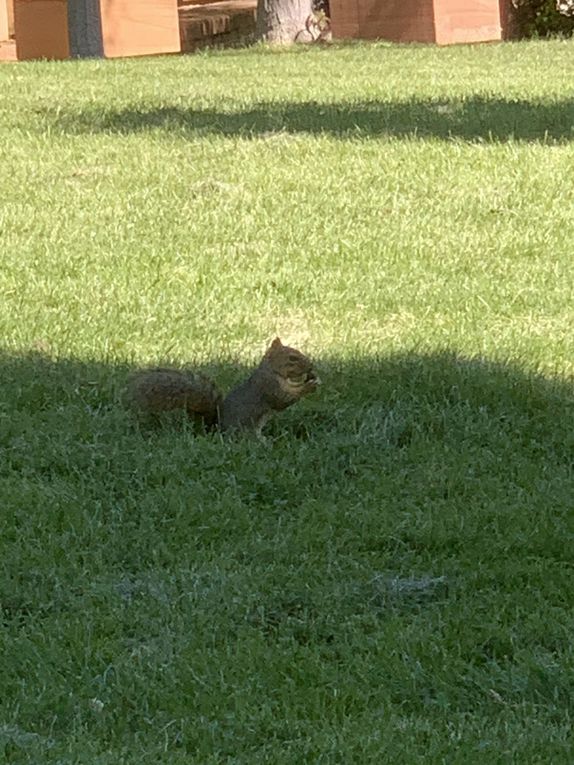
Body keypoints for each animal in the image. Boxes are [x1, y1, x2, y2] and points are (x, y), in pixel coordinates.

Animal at [126, 336, 322, 432]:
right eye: (292, 358)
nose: (311, 366)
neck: (272, 371)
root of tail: (216, 428)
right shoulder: (268, 387)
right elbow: (282, 400)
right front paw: (309, 386)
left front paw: (313, 379)